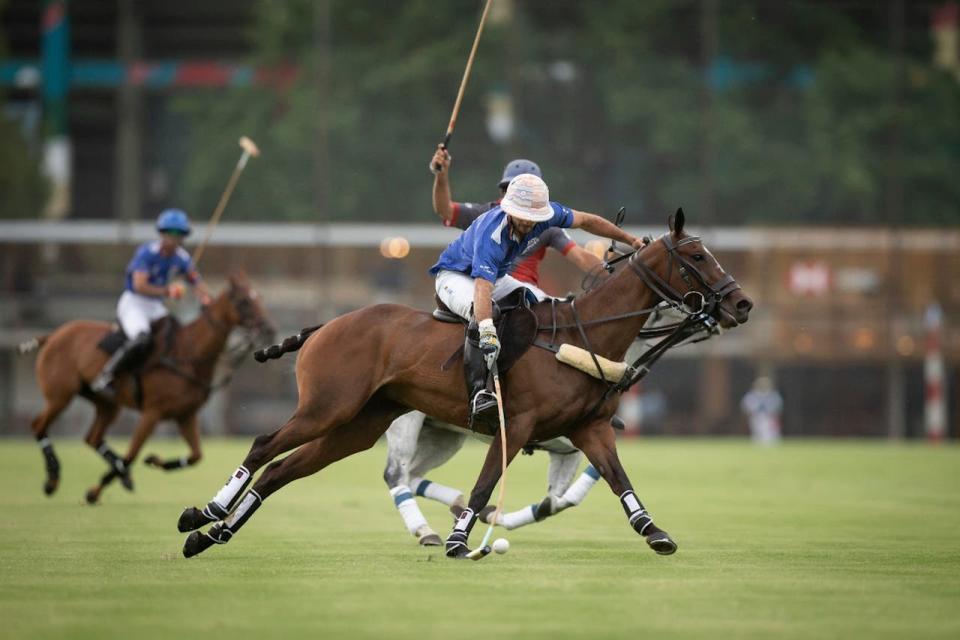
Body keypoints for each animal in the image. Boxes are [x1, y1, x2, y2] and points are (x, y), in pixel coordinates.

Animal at [18, 272, 274, 502]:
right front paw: (95, 491)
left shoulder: (185, 414)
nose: (268, 329)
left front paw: (154, 461)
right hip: (60, 395)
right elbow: (131, 455)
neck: (187, 354)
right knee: (38, 425)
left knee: (92, 437)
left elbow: (196, 456)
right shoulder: (152, 413)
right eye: (244, 301)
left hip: (107, 403)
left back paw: (122, 476)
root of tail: (52, 335)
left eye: (259, 297)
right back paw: (53, 479)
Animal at [178, 211, 752, 560]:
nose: (742, 304)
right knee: (266, 446)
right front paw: (460, 538)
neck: (584, 333)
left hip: (357, 426)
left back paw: (212, 535)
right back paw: (203, 513)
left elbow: (617, 479)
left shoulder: (588, 429)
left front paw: (655, 532)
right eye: (696, 258)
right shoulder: (517, 422)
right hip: (328, 406)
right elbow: (485, 482)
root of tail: (326, 324)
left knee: (283, 470)